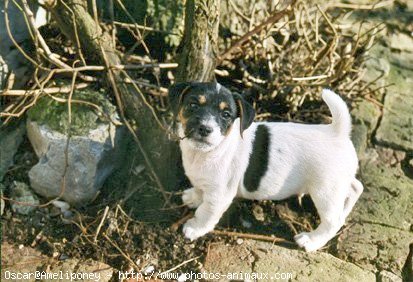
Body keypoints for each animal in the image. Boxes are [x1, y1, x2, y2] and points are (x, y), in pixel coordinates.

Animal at [169, 81, 362, 251]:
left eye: (226, 115)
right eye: (193, 105)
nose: (205, 129)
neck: (208, 151)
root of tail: (338, 132)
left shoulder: (219, 195)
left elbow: (206, 212)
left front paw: (194, 228)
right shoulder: (203, 180)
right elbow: (199, 189)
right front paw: (193, 197)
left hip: (325, 191)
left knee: (333, 221)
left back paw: (311, 241)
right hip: (338, 184)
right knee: (356, 187)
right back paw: (345, 210)